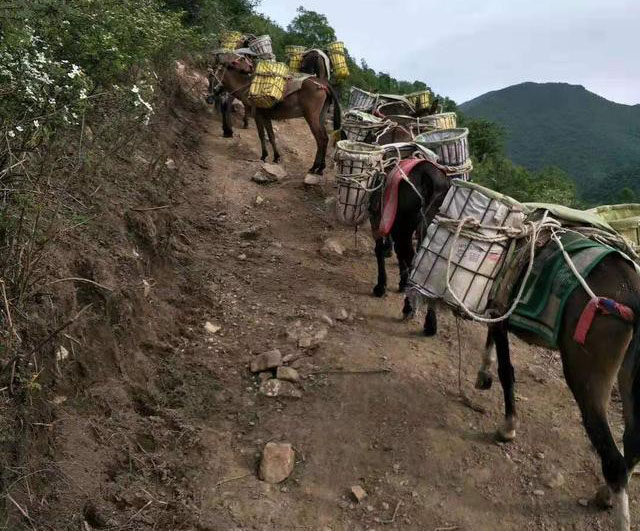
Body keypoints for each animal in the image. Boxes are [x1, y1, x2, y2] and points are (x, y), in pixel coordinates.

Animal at [212, 53, 342, 175]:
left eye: (219, 70)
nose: (214, 89)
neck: (247, 87)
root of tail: (324, 84)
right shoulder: (266, 117)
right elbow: (271, 136)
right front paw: (276, 157)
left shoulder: (258, 116)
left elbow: (261, 135)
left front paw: (264, 156)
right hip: (320, 116)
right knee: (324, 138)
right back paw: (318, 167)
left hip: (311, 117)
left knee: (321, 139)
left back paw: (317, 167)